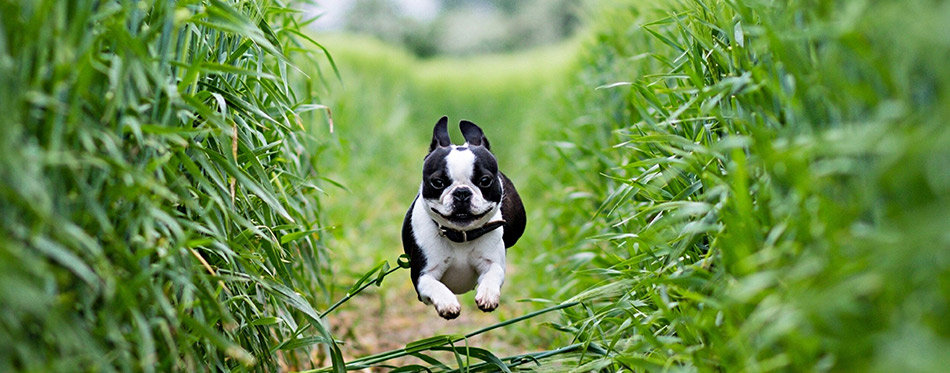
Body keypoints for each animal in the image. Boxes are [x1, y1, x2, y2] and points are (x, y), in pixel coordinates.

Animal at [398, 117, 524, 320]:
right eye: (438, 182)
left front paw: (488, 294)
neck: (460, 236)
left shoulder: (492, 262)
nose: (462, 192)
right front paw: (447, 303)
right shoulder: (422, 276)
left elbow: (493, 274)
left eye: (485, 180)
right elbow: (435, 285)